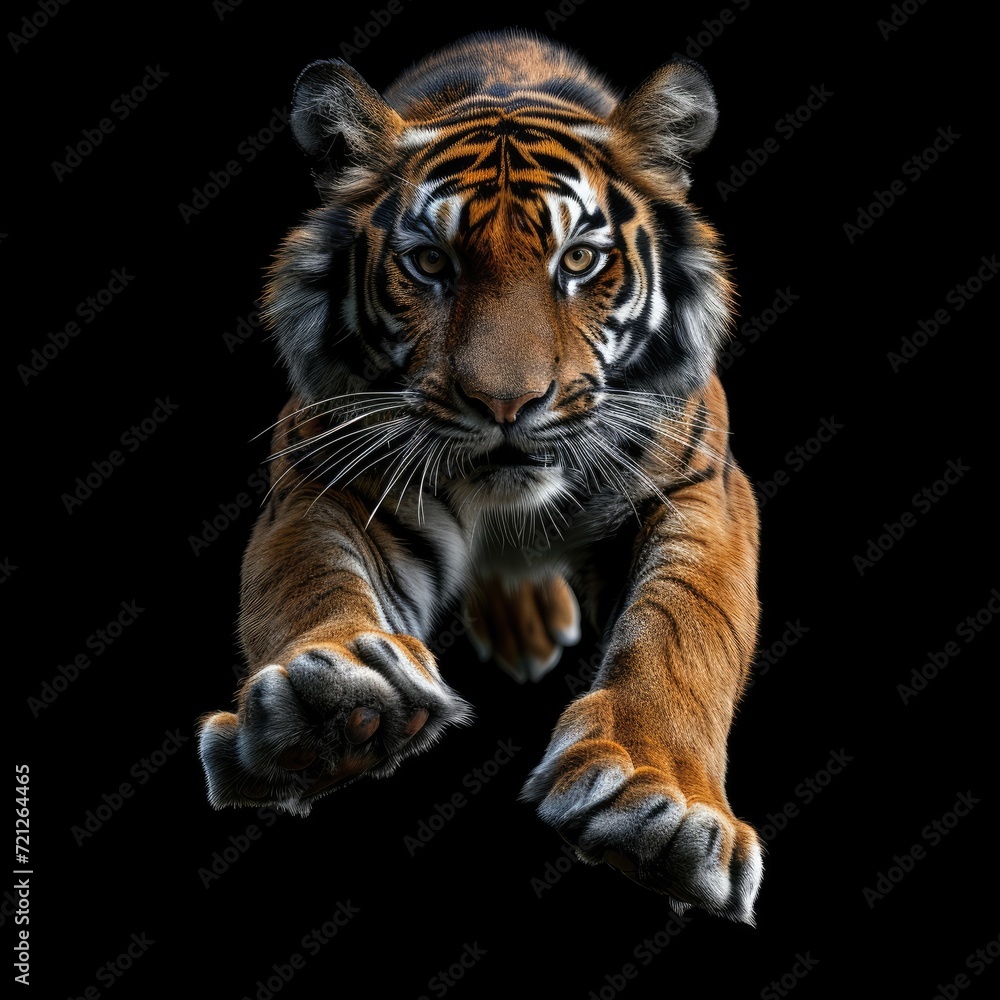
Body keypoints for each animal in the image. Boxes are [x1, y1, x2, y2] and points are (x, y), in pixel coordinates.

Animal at [197, 28, 764, 924]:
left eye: (580, 260)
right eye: (431, 263)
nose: (506, 403)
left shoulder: (699, 490)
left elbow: (686, 629)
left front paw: (660, 805)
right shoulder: (324, 477)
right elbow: (303, 580)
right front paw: (327, 703)